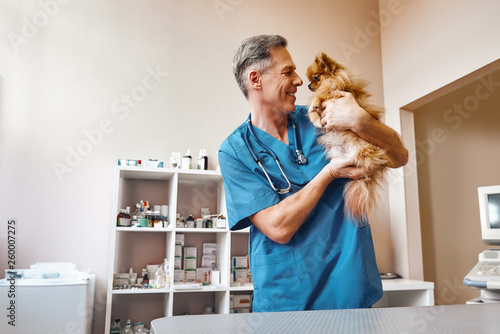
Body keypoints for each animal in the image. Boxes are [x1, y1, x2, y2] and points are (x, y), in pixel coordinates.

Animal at [304, 52, 390, 222]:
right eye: (311, 80)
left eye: (316, 78)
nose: (309, 86)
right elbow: (314, 110)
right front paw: (315, 116)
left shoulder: (336, 93)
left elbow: (321, 96)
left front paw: (315, 106)